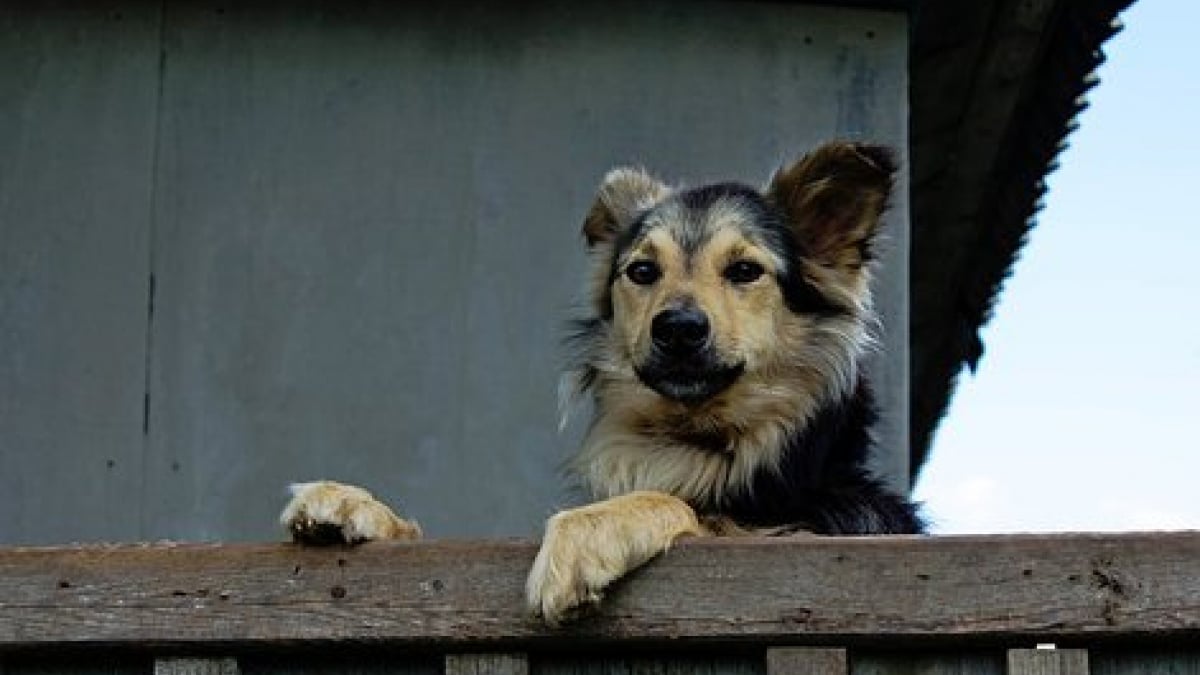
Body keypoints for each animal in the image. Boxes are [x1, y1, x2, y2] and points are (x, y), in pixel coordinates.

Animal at [280, 140, 916, 624]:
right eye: (642, 271)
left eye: (744, 271)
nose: (678, 328)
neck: (693, 438)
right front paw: (356, 507)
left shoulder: (822, 530)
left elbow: (693, 511)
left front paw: (584, 534)